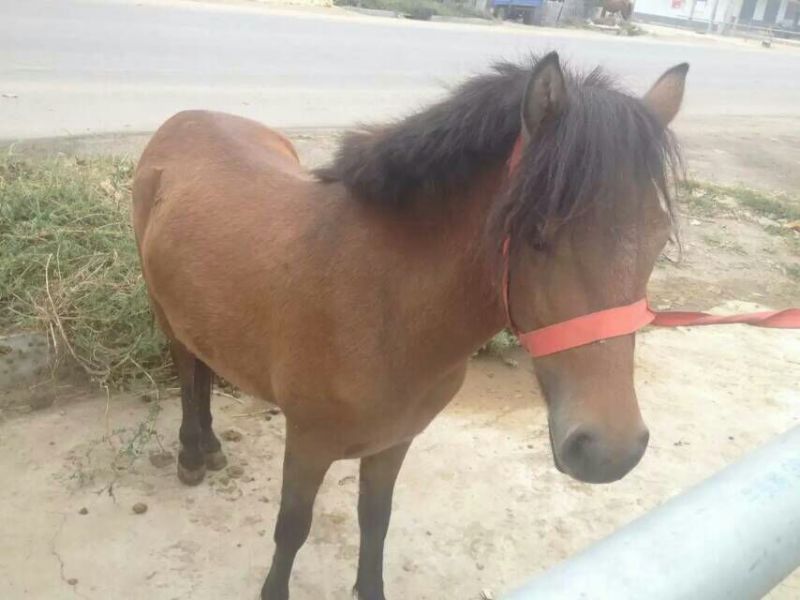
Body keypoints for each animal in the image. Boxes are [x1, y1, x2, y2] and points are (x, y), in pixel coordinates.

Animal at [132, 52, 687, 600]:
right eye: (535, 232)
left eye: (658, 234)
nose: (610, 452)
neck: (385, 303)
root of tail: (187, 118)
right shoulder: (308, 443)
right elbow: (292, 529)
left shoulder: (394, 441)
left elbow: (375, 520)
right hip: (164, 309)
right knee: (187, 369)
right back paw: (192, 453)